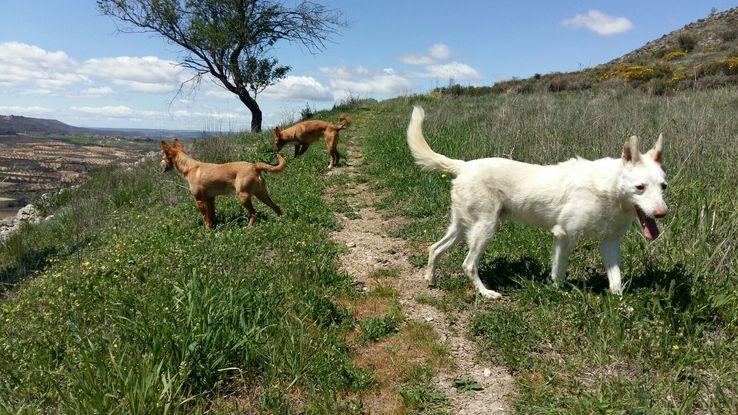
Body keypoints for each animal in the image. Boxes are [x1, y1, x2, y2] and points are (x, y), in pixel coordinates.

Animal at [406, 107, 664, 300]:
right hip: (484, 229)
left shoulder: (610, 243)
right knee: (468, 265)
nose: (662, 213)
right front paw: (558, 295)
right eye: (640, 187)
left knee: (435, 248)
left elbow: (616, 282)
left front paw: (622, 308)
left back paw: (430, 279)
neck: (608, 189)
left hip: (462, 228)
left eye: (663, 186)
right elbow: (558, 274)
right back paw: (486, 293)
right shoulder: (564, 236)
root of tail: (464, 166)